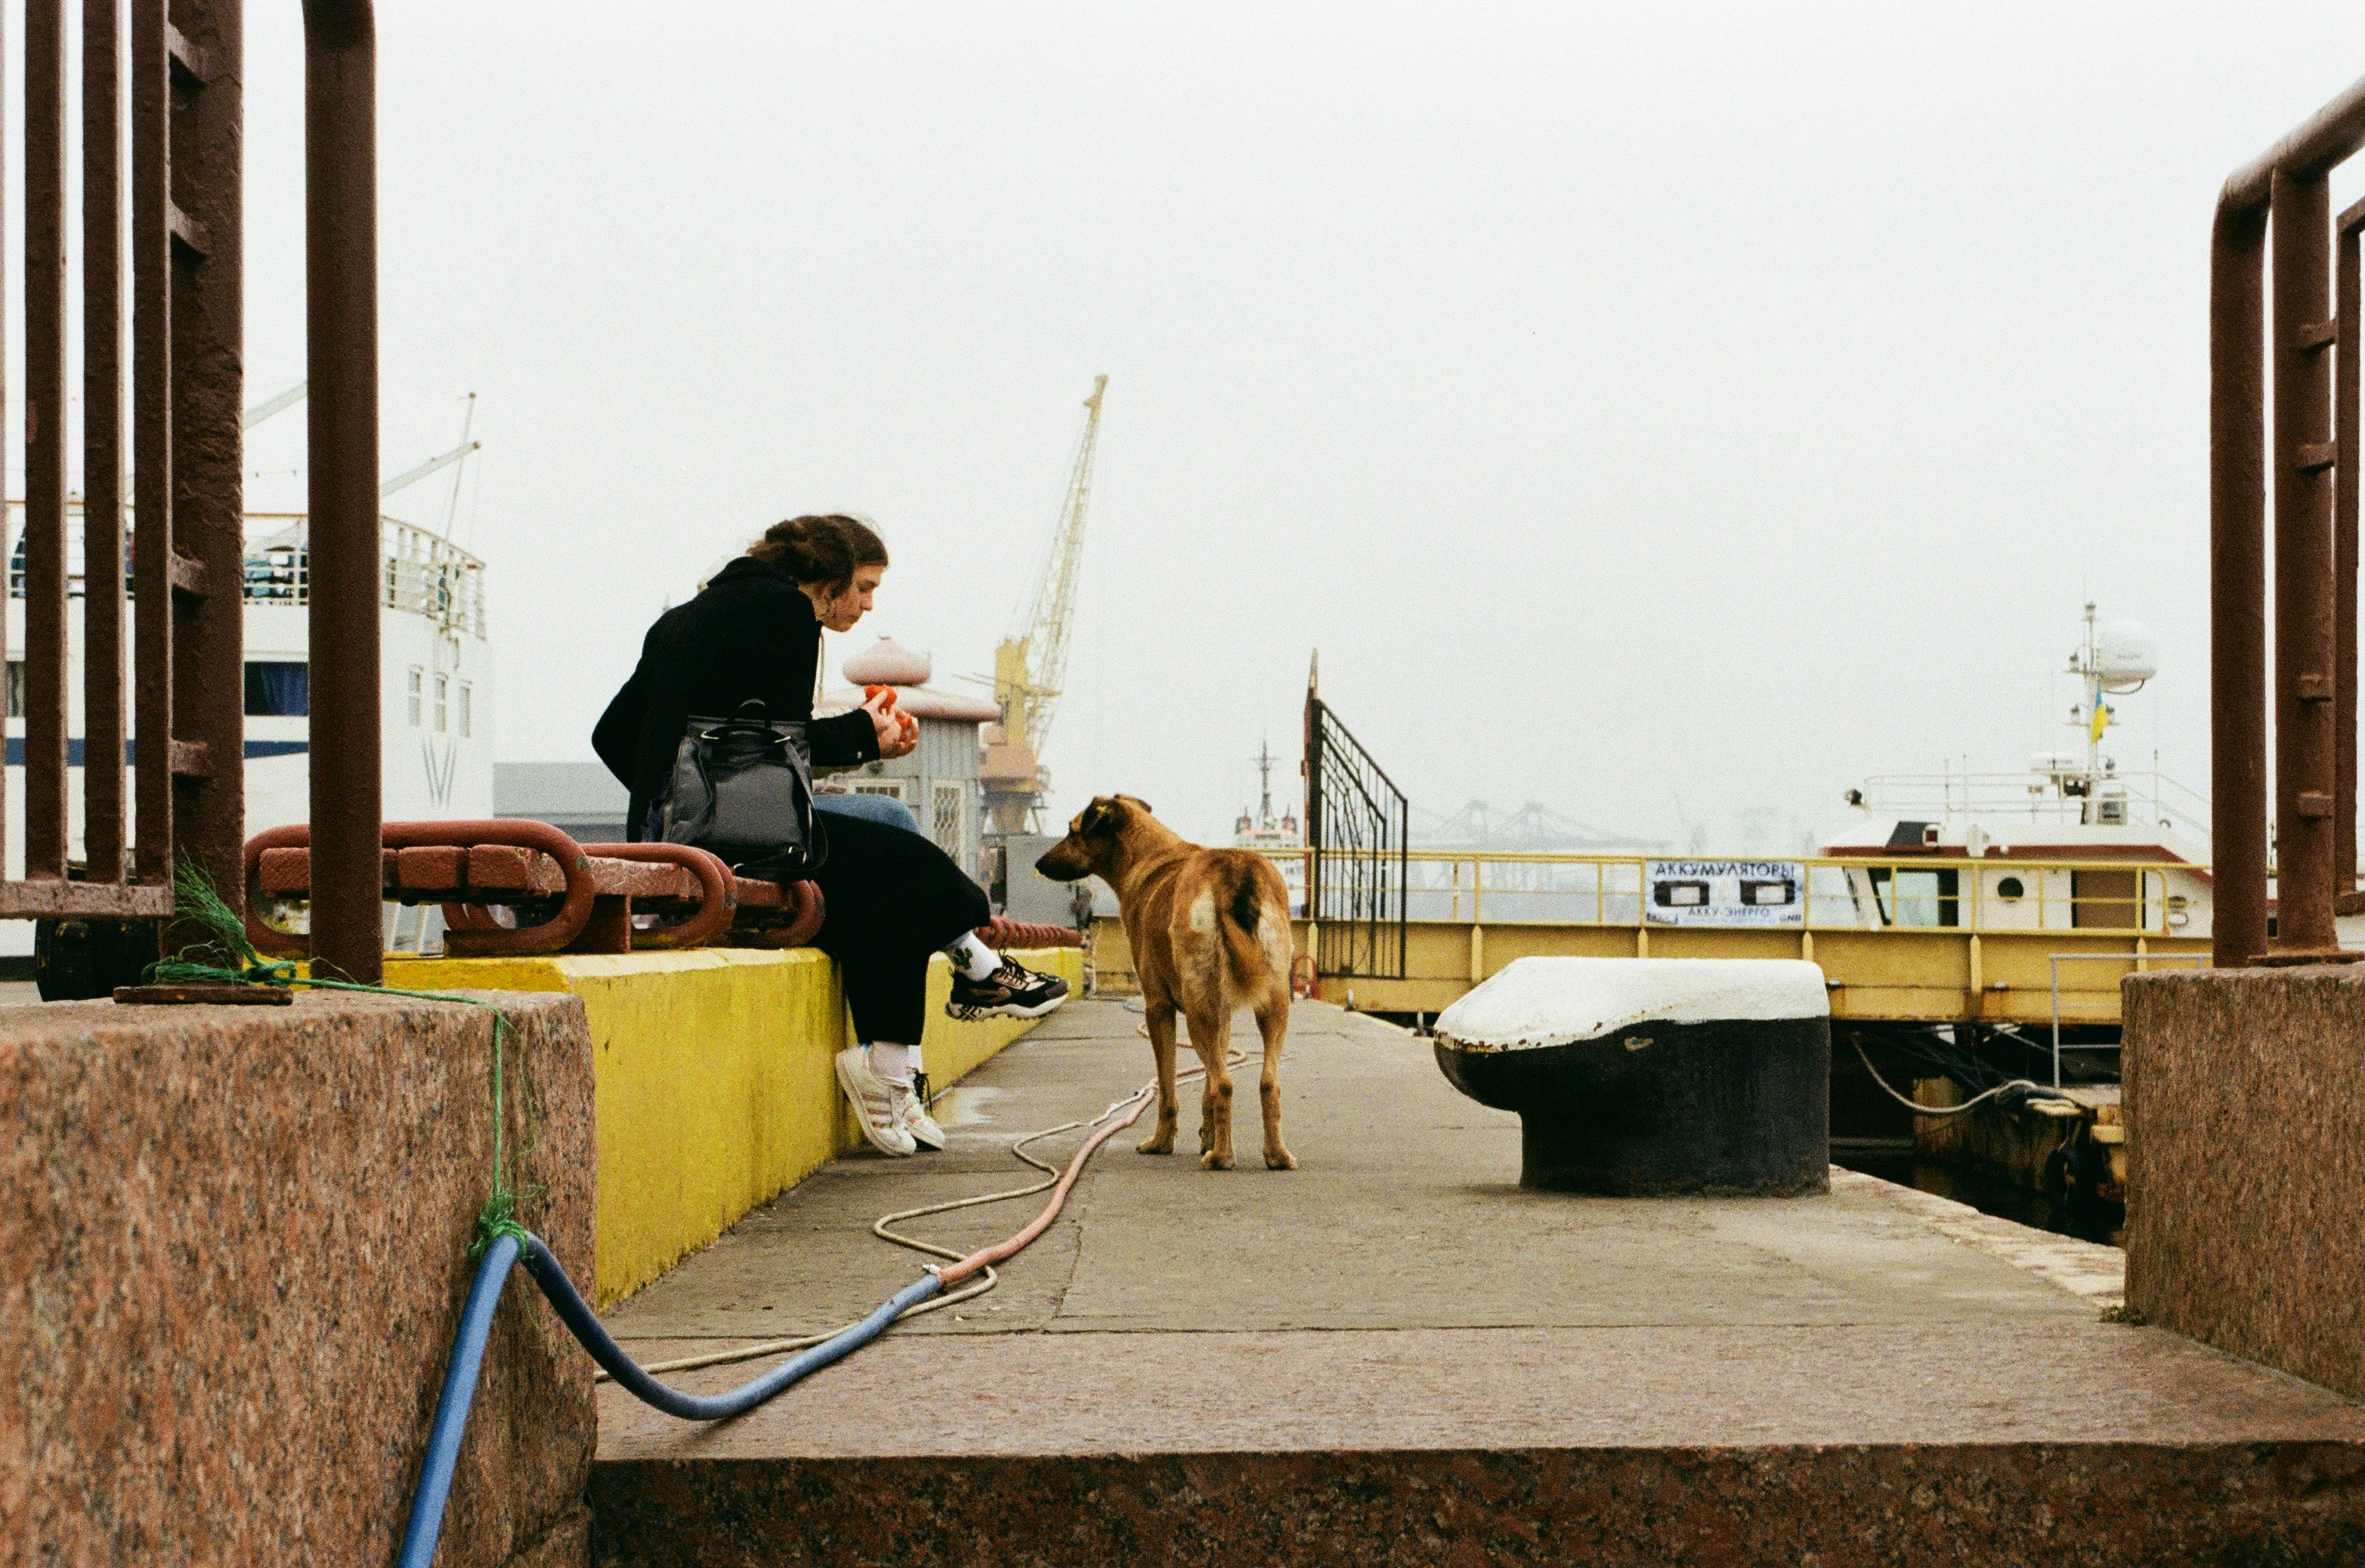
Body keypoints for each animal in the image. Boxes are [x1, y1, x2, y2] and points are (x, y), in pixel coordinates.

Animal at [1035, 790, 1296, 1173]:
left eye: (1072, 830)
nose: (1039, 864)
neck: (1150, 857)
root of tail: (1234, 872)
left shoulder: (1158, 1008)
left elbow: (1168, 1086)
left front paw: (1162, 1141)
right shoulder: (1222, 1015)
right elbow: (1206, 1086)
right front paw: (1207, 1136)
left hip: (1198, 1011)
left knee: (1225, 1084)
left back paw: (1221, 1158)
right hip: (1272, 1003)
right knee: (1268, 1083)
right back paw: (1275, 1154)